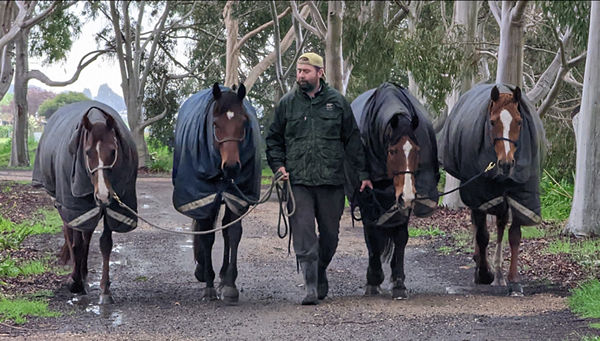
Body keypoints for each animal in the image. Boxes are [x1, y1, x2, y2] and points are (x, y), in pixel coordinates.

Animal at [32, 101, 138, 302]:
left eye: (113, 150)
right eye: (87, 152)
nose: (103, 195)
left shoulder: (110, 208)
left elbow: (105, 243)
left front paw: (105, 290)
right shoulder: (75, 208)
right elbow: (76, 243)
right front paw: (75, 282)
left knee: (86, 237)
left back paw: (84, 275)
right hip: (64, 205)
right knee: (71, 234)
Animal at [171, 81, 260, 302]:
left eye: (243, 122)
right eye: (215, 124)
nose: (232, 167)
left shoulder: (236, 197)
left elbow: (233, 233)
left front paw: (229, 284)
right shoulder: (203, 197)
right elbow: (207, 237)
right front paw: (209, 284)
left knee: (226, 231)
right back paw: (203, 271)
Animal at [344, 81, 438, 298]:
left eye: (417, 150)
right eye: (392, 151)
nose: (408, 195)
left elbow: (401, 237)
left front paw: (399, 282)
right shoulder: (367, 199)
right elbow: (372, 236)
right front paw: (373, 279)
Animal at [438, 83, 548, 294]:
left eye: (519, 122)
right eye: (492, 121)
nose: (506, 163)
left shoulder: (519, 194)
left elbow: (514, 235)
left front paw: (513, 279)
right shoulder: (479, 195)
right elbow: (482, 235)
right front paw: (483, 273)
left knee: (500, 224)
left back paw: (498, 273)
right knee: (479, 225)